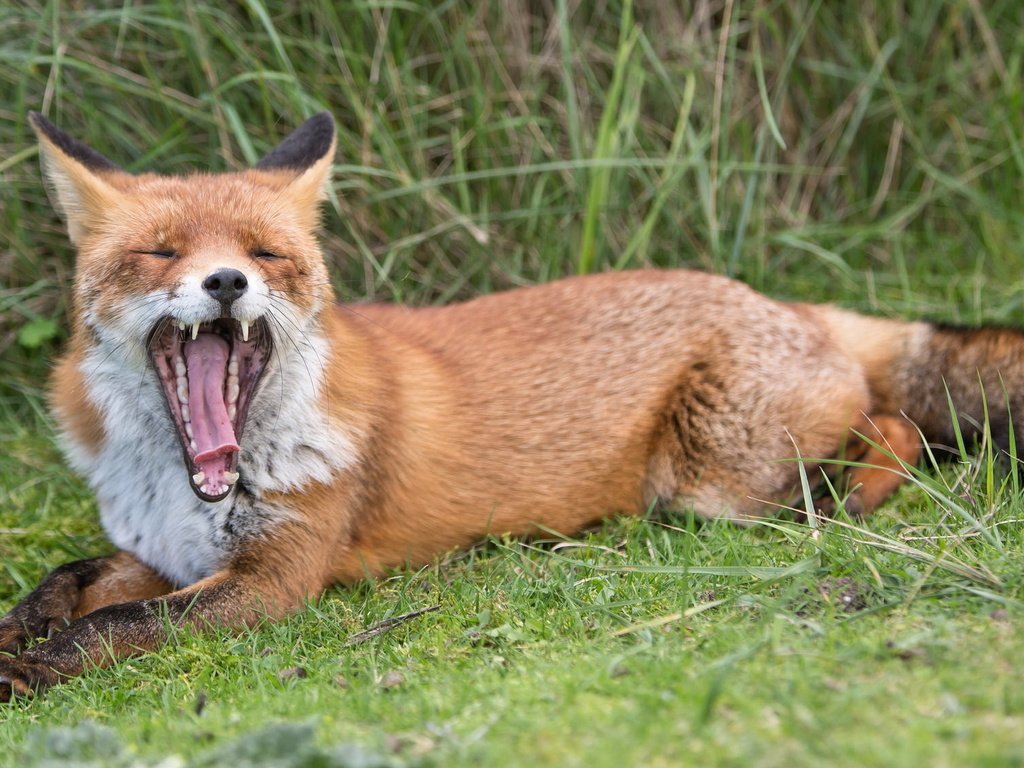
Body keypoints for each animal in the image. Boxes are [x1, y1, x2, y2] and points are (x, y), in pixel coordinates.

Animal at [2, 109, 1024, 704]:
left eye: (266, 255)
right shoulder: (165, 551)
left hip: (716, 480)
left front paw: (29, 668)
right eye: (162, 253)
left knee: (894, 426)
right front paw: (22, 629)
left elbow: (117, 625)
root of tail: (785, 301)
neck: (190, 481)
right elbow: (68, 582)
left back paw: (847, 498)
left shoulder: (275, 578)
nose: (225, 283)